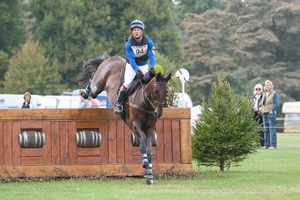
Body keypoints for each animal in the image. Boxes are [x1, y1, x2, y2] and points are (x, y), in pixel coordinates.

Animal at [77, 52, 171, 184]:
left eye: (166, 92)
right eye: (156, 91)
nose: (158, 113)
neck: (144, 101)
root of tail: (112, 58)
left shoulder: (150, 129)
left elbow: (149, 149)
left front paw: (149, 175)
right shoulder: (135, 125)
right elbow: (142, 145)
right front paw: (145, 165)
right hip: (98, 85)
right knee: (92, 82)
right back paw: (85, 92)